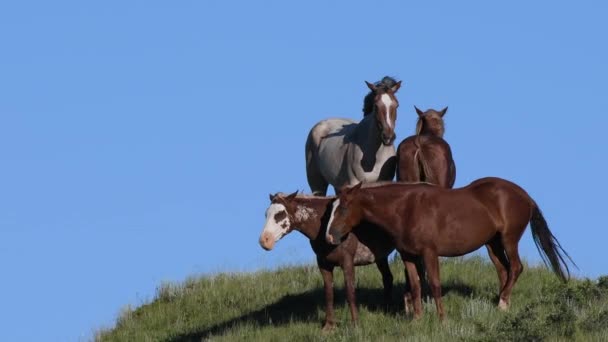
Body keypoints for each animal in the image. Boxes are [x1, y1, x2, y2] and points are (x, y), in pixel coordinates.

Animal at [258, 191, 396, 330]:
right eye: (266, 214)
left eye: (280, 214)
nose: (264, 241)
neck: (326, 226)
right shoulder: (324, 264)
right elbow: (329, 293)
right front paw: (329, 326)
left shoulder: (347, 262)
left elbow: (350, 292)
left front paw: (355, 325)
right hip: (380, 256)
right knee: (387, 278)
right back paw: (387, 308)